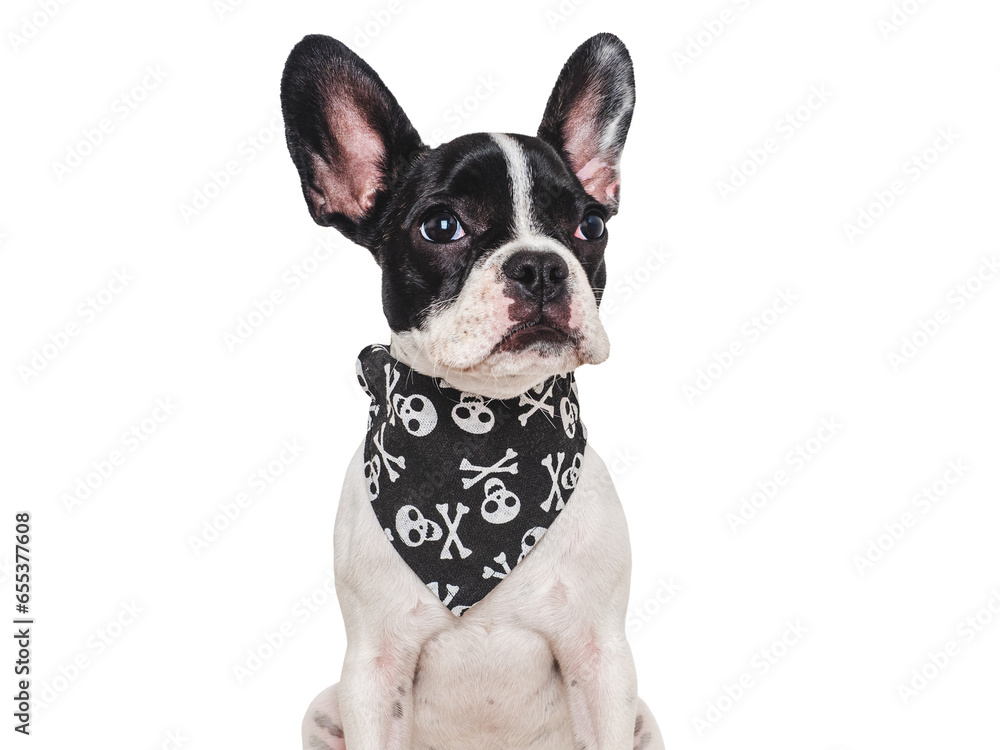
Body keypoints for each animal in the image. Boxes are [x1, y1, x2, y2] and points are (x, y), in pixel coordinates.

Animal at [280, 30, 664, 750]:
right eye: (440, 227)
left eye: (591, 226)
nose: (539, 266)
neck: (482, 416)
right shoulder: (372, 672)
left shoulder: (602, 662)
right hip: (323, 709)